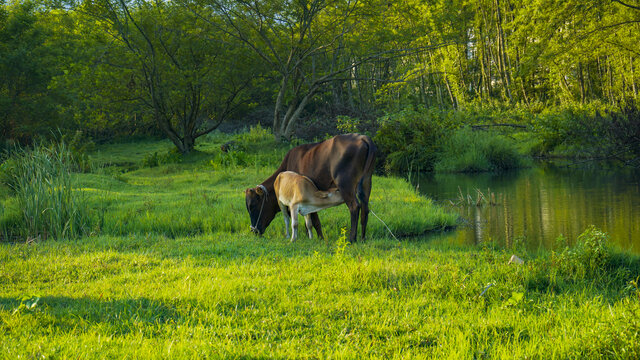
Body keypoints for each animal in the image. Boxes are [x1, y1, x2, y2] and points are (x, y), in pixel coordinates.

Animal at [244, 133, 376, 242]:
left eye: (253, 206)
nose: (254, 231)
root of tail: (362, 137)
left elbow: (314, 220)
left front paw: (319, 238)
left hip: (345, 184)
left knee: (355, 207)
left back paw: (352, 238)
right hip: (366, 182)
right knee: (365, 208)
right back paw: (363, 238)